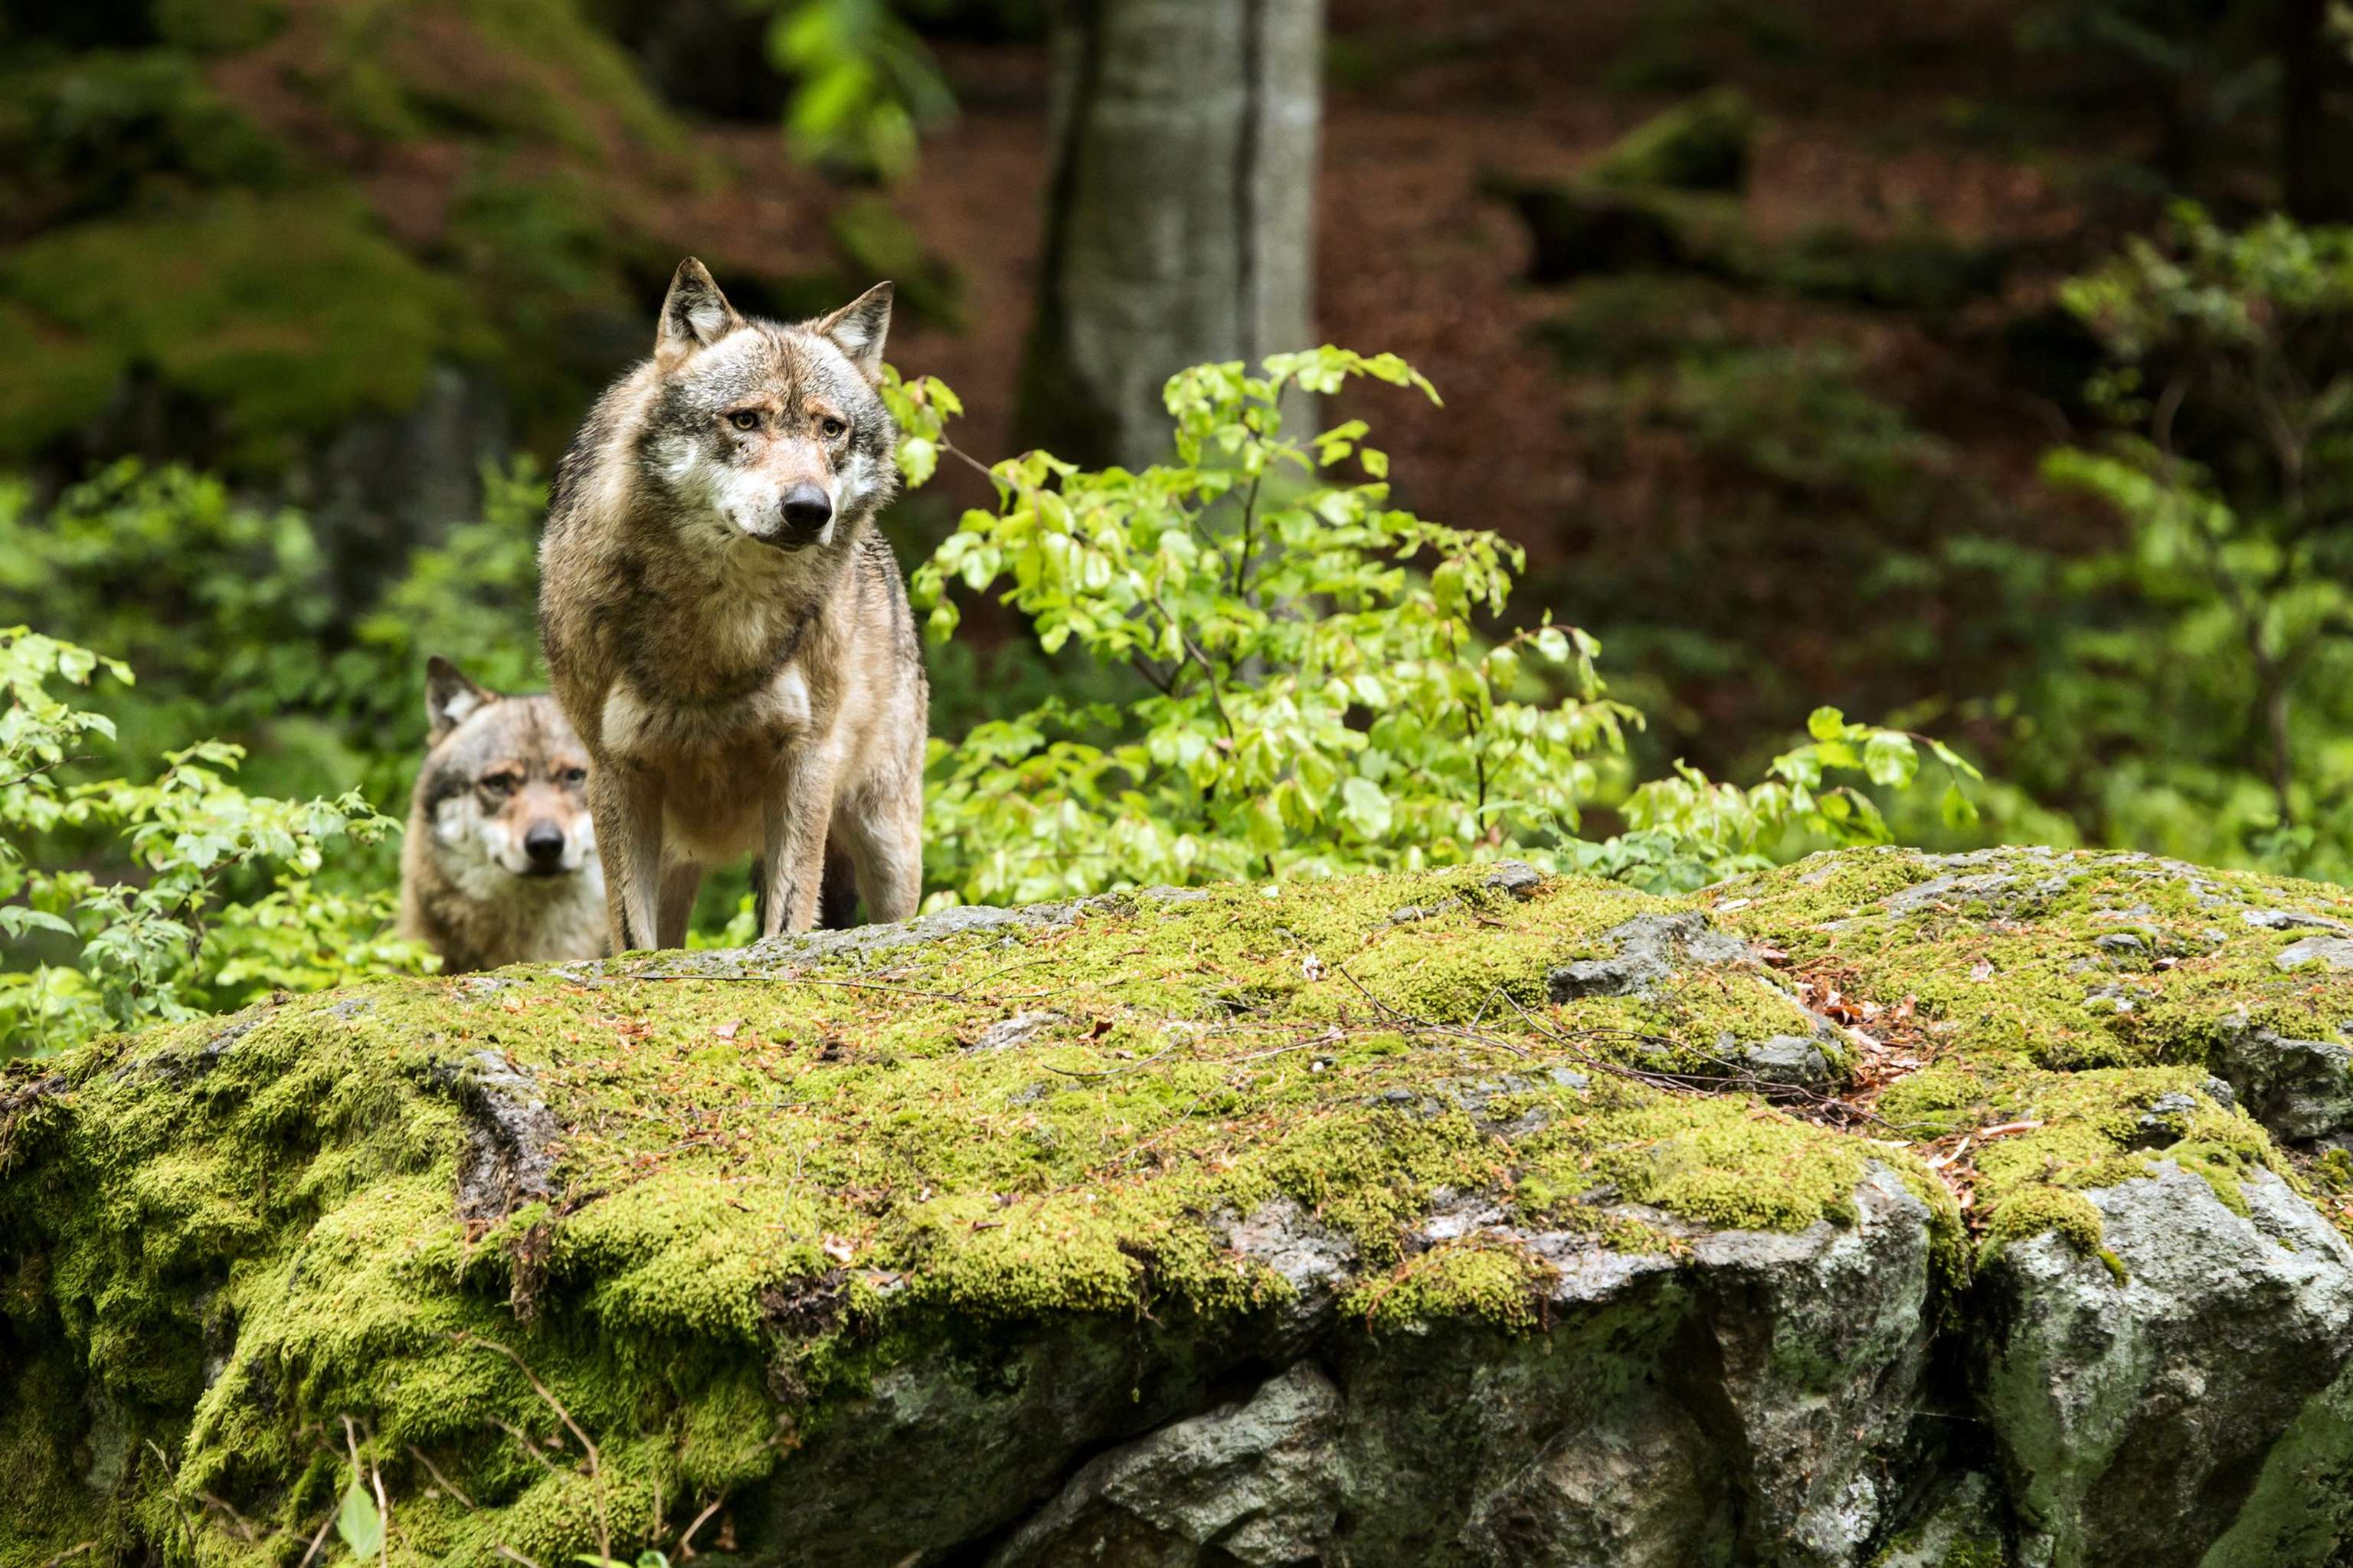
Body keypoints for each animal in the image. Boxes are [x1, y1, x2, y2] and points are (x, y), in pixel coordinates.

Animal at [537, 261, 926, 949]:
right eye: (746, 421)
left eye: (831, 428)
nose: (809, 508)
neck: (720, 627)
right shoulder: (614, 771)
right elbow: (631, 937)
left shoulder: (807, 759)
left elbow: (789, 916)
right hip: (677, 858)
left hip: (886, 837)